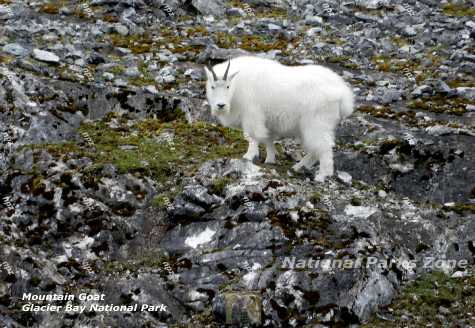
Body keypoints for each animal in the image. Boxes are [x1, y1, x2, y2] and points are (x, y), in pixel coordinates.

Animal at [203, 54, 356, 181]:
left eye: (228, 86)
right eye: (212, 87)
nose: (220, 105)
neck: (237, 85)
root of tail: (344, 95)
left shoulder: (252, 115)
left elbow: (252, 136)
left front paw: (248, 156)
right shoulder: (267, 123)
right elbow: (268, 140)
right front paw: (270, 159)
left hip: (317, 123)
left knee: (324, 147)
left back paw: (322, 175)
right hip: (308, 128)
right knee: (314, 150)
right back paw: (298, 167)